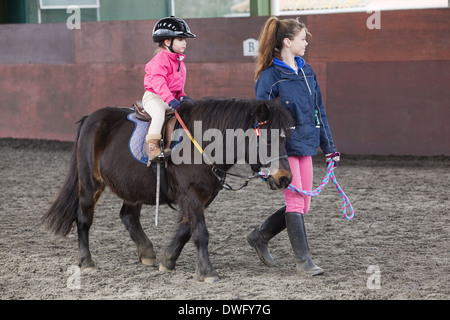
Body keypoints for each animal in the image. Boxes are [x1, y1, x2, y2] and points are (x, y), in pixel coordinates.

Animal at [42, 97, 294, 282]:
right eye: (267, 140)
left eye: (285, 138)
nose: (284, 178)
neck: (201, 144)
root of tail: (91, 118)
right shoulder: (191, 194)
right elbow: (200, 232)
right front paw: (207, 272)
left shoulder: (202, 196)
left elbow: (185, 230)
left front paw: (167, 259)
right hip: (89, 184)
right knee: (83, 219)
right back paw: (86, 262)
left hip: (132, 187)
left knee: (128, 216)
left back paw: (147, 253)